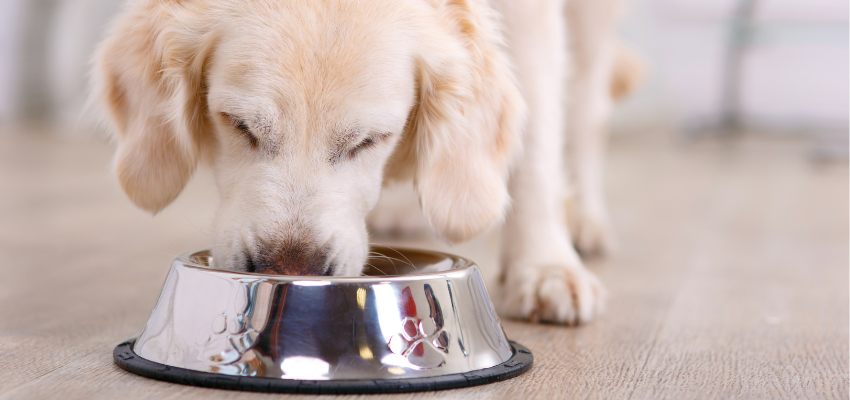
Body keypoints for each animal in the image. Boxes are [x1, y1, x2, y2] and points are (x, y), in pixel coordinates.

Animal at [93, 0, 636, 324]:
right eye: (239, 124)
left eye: (371, 140)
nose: (291, 269)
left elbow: (538, 134)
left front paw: (543, 267)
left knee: (587, 106)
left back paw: (584, 222)